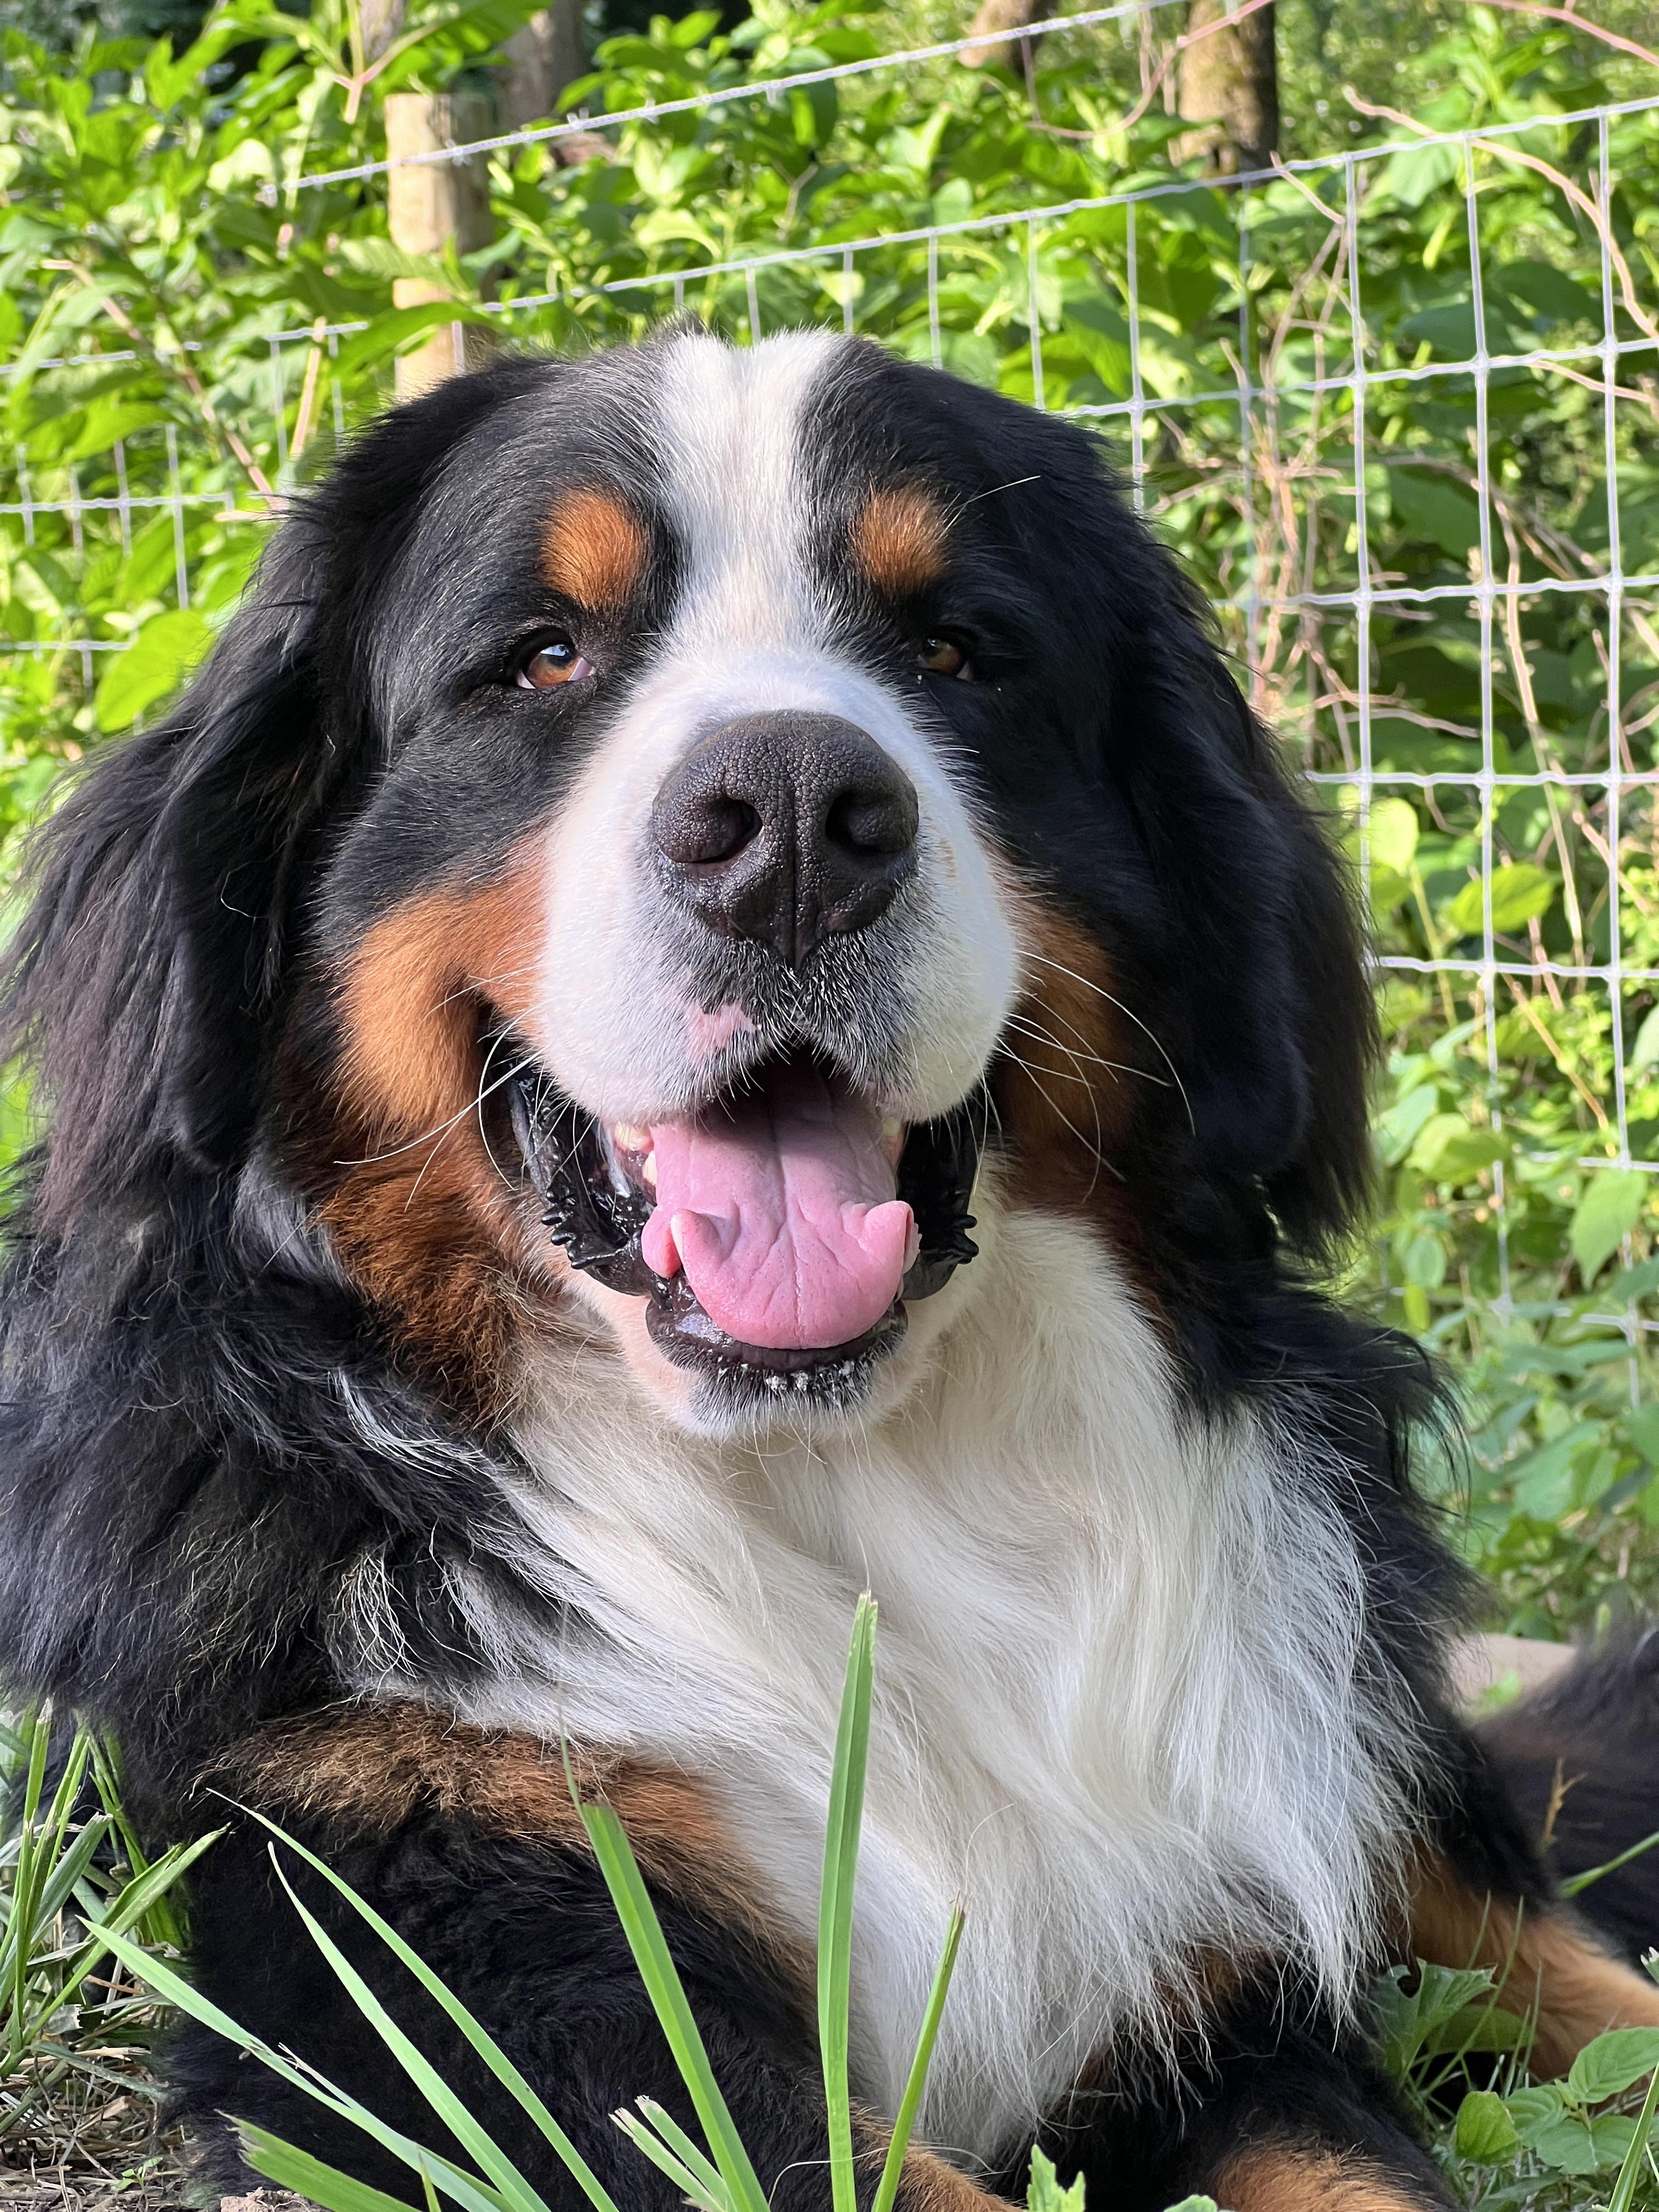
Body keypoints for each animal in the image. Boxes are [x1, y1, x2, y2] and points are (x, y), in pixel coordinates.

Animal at [1, 326, 1655, 2212]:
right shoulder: (453, 1947)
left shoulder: (1208, 1932)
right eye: (541, 656)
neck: (856, 1498)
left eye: (958, 651)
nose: (791, 817)